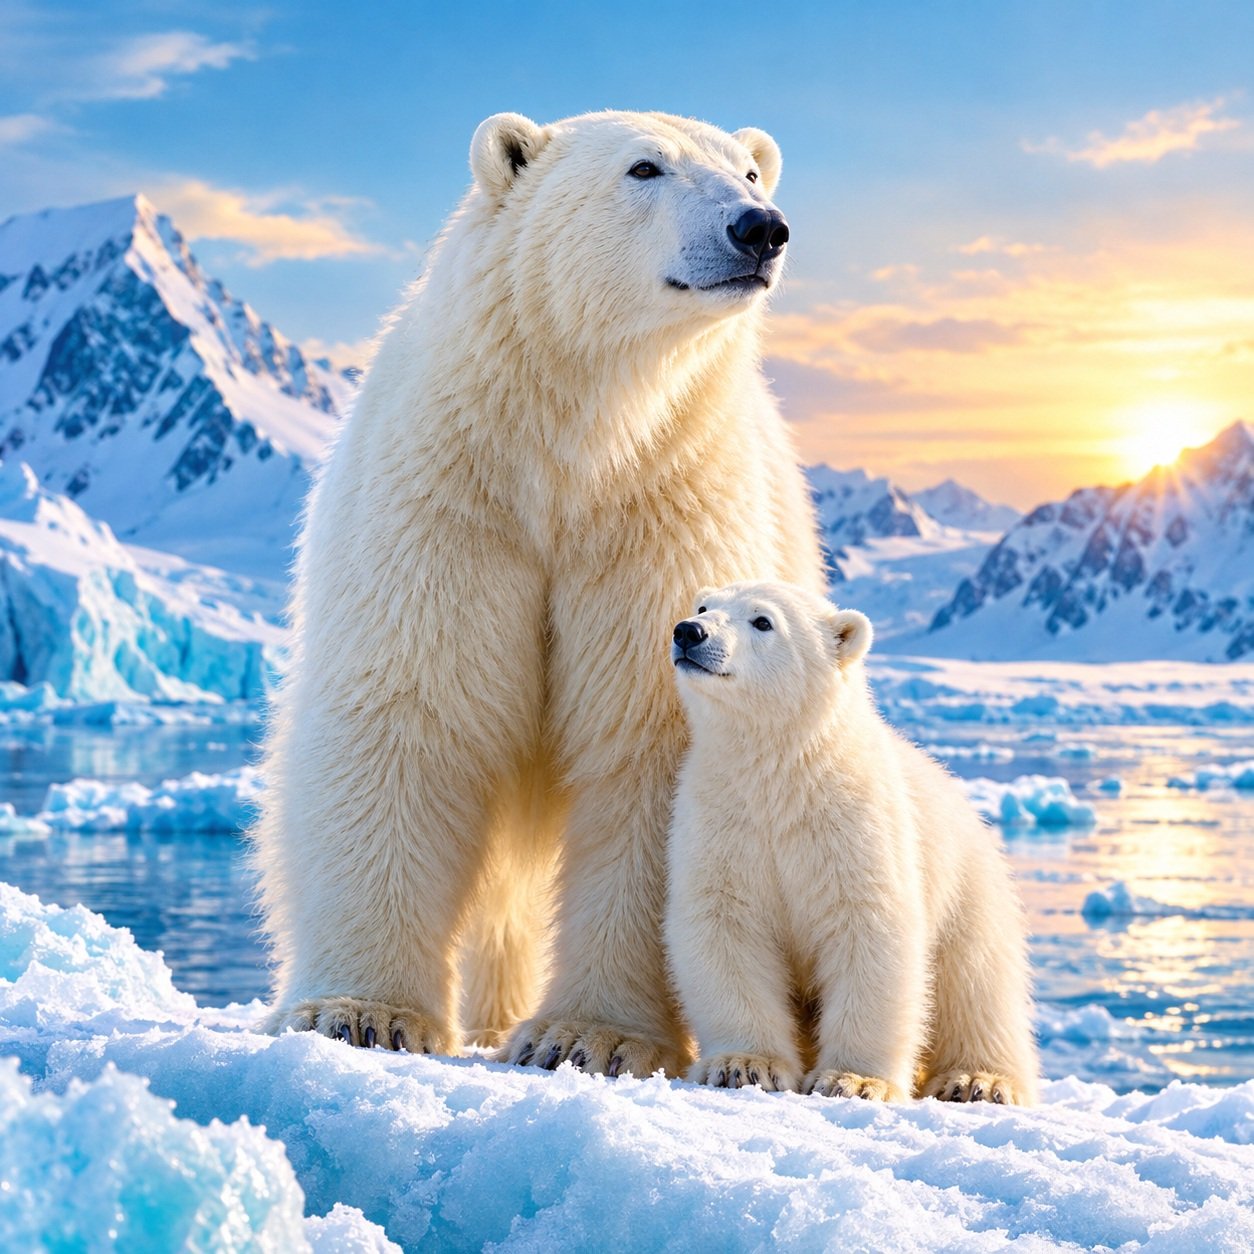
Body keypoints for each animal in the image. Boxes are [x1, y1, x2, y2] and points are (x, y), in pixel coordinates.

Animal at [250, 111, 826, 1076]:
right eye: (645, 167)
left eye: (749, 171)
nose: (761, 228)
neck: (570, 446)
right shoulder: (449, 498)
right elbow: (411, 708)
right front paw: (363, 1013)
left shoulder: (663, 510)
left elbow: (646, 741)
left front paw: (590, 1036)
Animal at [665, 580, 1039, 1104]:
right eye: (703, 606)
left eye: (763, 621)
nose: (689, 632)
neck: (783, 777)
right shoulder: (723, 823)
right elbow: (725, 926)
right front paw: (745, 1065)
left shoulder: (857, 827)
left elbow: (870, 930)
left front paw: (855, 1080)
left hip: (969, 890)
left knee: (976, 984)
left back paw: (977, 1080)